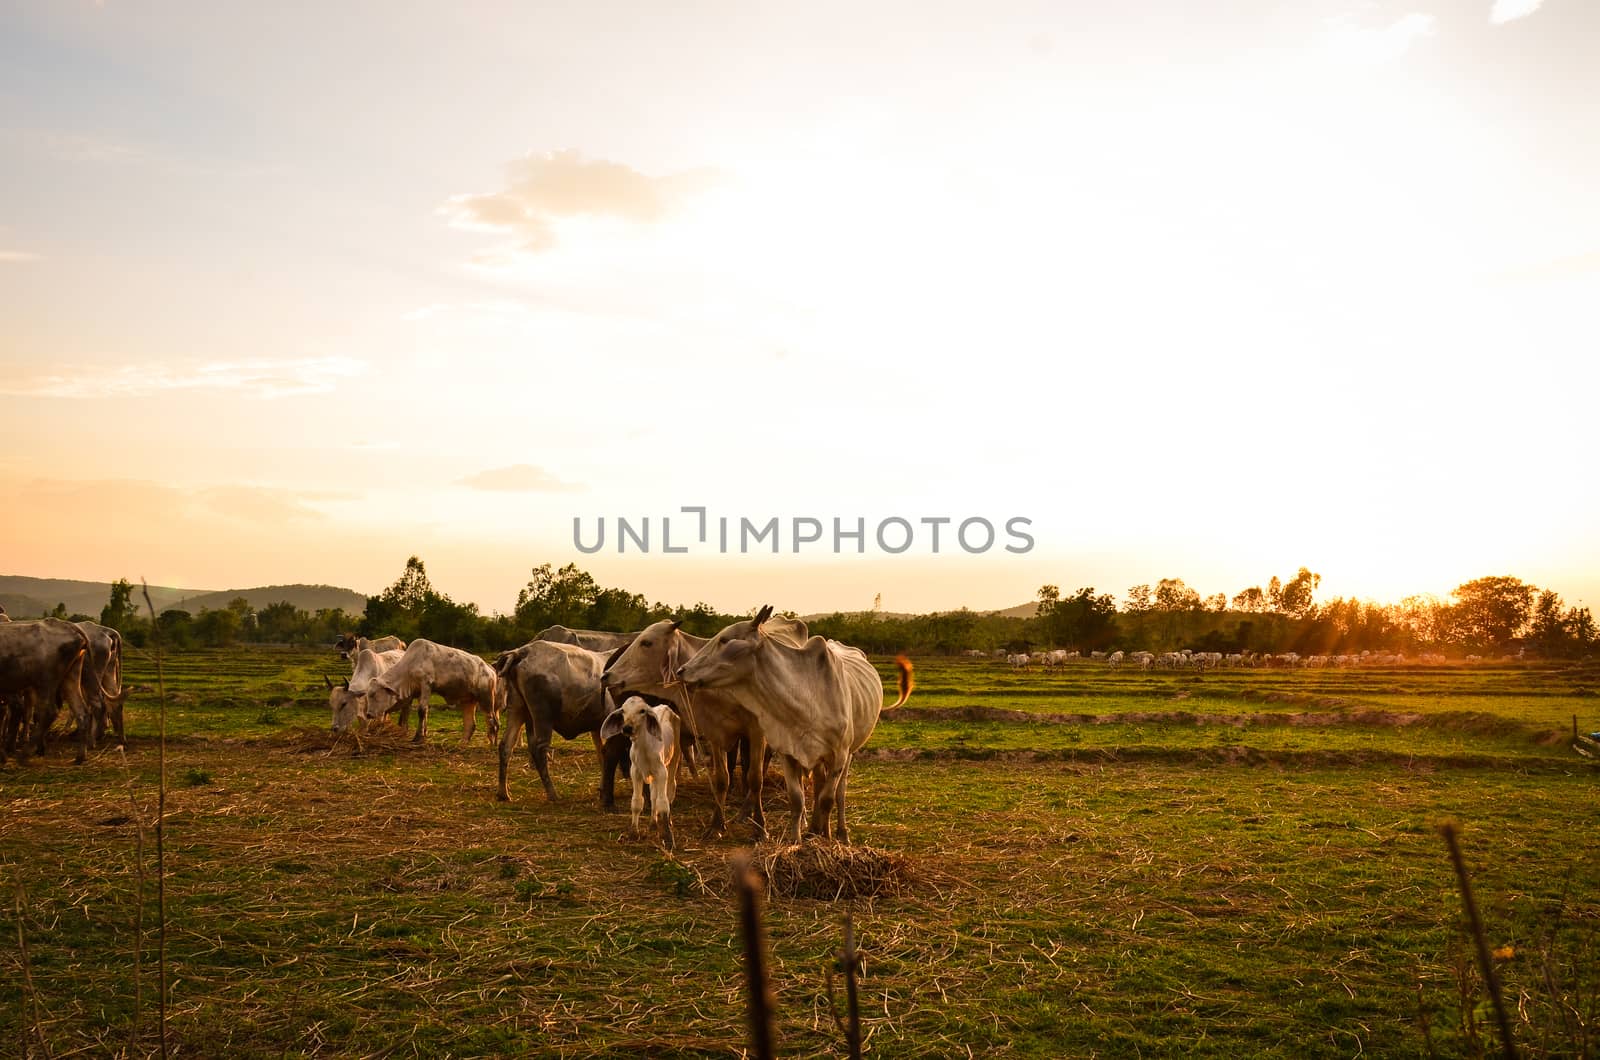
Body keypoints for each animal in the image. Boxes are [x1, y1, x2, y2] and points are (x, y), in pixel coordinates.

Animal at [0, 624, 94, 765]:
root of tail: (70, 627)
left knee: (49, 712)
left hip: (46, 682)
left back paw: (26, 753)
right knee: (81, 712)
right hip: (71, 677)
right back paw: (80, 756)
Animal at [363, 643, 499, 742]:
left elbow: (421, 711)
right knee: (470, 724)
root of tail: (489, 669)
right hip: (469, 701)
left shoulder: (426, 685)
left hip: (486, 699)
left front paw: (418, 737)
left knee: (493, 722)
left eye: (373, 695)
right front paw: (423, 733)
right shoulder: (418, 692)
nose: (369, 714)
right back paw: (463, 743)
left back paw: (492, 744)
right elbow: (424, 712)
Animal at [595, 698, 681, 858]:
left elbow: (663, 802)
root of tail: (667, 707)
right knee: (653, 796)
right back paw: (653, 824)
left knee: (671, 790)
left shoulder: (661, 772)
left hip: (674, 760)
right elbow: (637, 801)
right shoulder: (635, 771)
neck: (644, 748)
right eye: (623, 710)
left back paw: (668, 821)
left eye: (642, 711)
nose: (627, 728)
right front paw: (633, 834)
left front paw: (667, 837)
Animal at [601, 618, 806, 845]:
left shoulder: (755, 732)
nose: (606, 675)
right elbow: (722, 780)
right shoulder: (715, 733)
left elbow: (755, 779)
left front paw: (759, 828)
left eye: (647, 642)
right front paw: (717, 825)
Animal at [675, 605, 915, 845]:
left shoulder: (839, 754)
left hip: (850, 754)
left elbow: (827, 799)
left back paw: (840, 833)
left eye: (725, 640)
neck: (805, 697)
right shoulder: (788, 752)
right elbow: (797, 799)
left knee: (839, 793)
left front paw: (821, 838)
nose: (681, 671)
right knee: (818, 785)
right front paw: (796, 841)